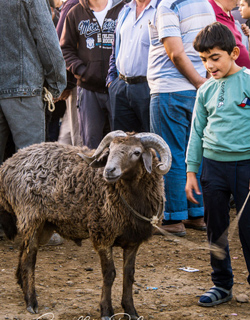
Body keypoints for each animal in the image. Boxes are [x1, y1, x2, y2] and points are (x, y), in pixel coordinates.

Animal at [0, 131, 172, 320]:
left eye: (137, 152)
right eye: (110, 150)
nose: (109, 170)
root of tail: (8, 164)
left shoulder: (133, 241)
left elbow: (129, 275)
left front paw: (131, 310)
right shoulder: (102, 234)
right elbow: (109, 274)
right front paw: (106, 311)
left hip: (42, 225)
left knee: (23, 253)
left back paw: (23, 287)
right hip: (31, 217)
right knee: (29, 259)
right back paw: (31, 302)